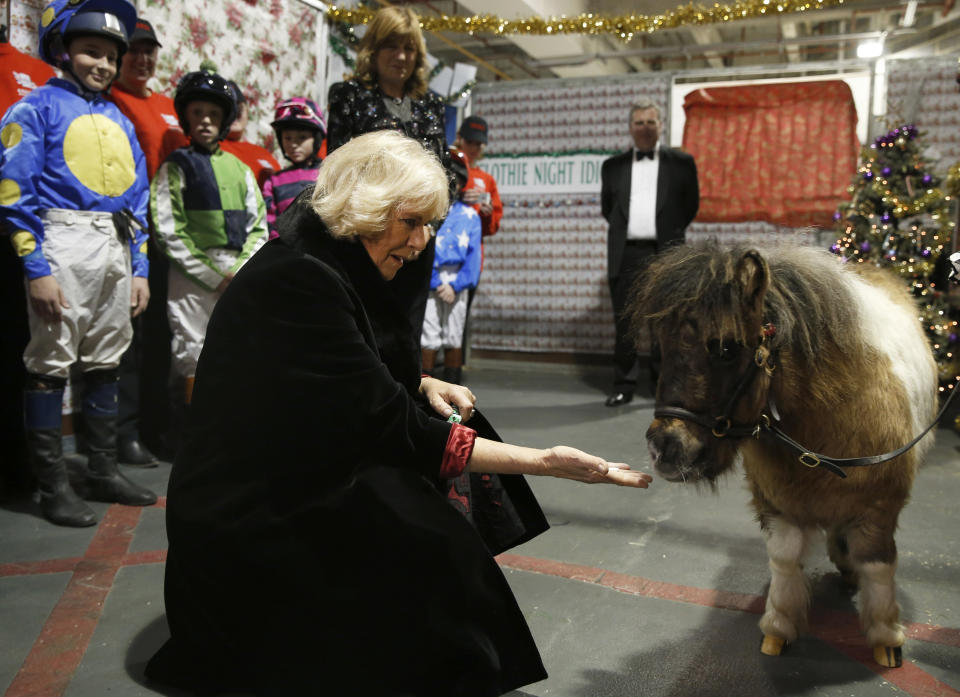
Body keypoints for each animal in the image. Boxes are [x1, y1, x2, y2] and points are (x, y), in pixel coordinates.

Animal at [632, 243, 936, 664]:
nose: (663, 448)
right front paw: (779, 626)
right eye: (663, 344)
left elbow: (878, 566)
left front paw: (886, 636)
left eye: (727, 348)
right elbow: (785, 560)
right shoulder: (779, 506)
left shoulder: (878, 511)